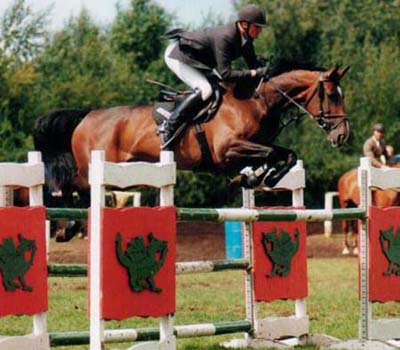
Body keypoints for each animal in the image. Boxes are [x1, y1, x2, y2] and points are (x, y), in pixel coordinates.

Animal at [32, 66, 350, 211]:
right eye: (332, 95)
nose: (343, 135)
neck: (257, 101)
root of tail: (87, 116)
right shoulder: (229, 151)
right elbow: (275, 154)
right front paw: (257, 177)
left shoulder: (250, 149)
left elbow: (285, 155)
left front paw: (255, 177)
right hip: (95, 167)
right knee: (70, 186)